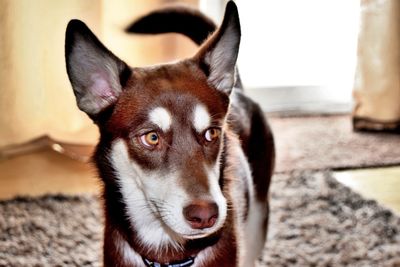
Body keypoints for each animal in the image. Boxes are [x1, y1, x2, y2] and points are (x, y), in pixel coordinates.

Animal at [65, 1, 274, 266]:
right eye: (151, 137)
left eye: (212, 133)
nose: (205, 215)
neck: (168, 254)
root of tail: (238, 90)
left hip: (257, 220)